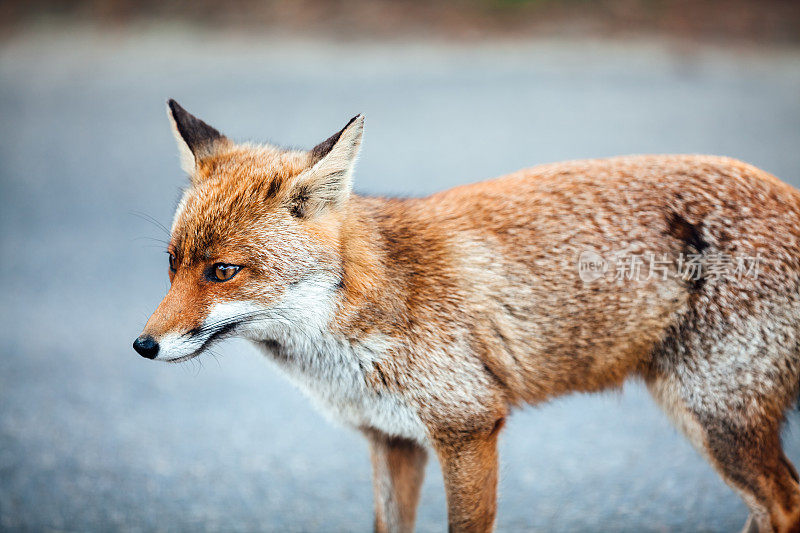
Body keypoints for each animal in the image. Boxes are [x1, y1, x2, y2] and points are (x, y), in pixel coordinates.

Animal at [136, 101, 800, 532]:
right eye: (172, 263)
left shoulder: (469, 427)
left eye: (223, 271)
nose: (144, 346)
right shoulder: (392, 441)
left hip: (718, 417)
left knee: (783, 504)